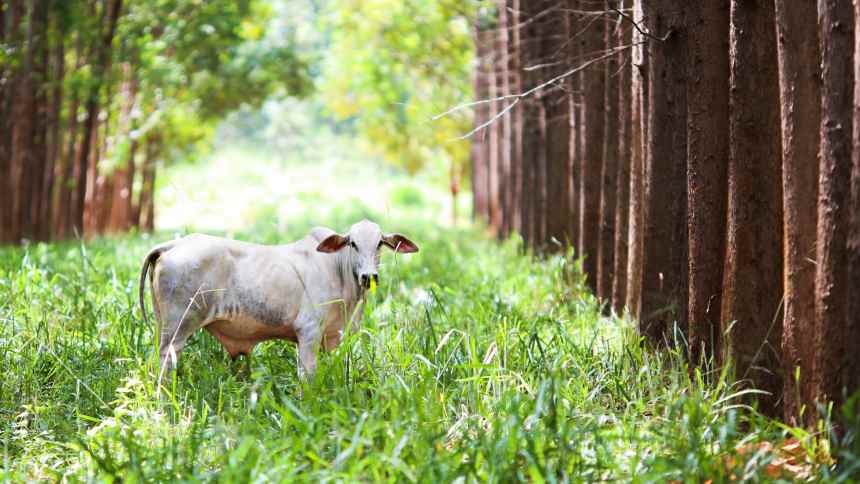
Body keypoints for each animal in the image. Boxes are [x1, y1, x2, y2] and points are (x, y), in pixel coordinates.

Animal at [139, 219, 418, 382]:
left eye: (380, 243)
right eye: (353, 243)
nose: (369, 276)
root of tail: (173, 245)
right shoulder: (308, 332)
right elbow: (308, 377)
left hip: (162, 324)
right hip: (178, 328)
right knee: (166, 363)